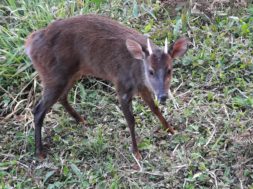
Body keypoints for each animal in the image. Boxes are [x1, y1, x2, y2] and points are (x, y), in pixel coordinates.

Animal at [25, 14, 188, 159]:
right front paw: (136, 152)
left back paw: (82, 120)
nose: (163, 96)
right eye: (151, 71)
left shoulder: (142, 88)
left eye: (169, 70)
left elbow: (154, 108)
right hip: (53, 75)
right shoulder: (122, 86)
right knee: (38, 109)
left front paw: (170, 129)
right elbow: (131, 120)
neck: (137, 71)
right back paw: (40, 152)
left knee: (62, 97)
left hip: (71, 73)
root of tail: (30, 44)